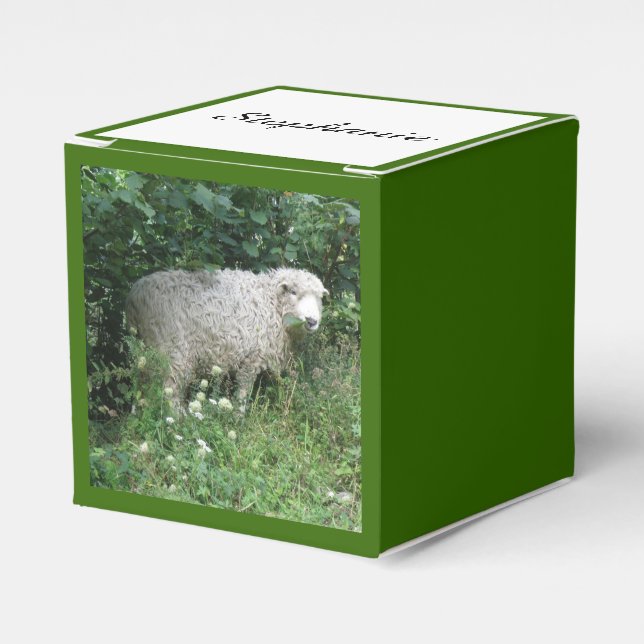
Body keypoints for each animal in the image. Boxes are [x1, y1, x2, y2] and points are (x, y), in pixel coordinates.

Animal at [125, 267, 328, 410]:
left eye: (319, 298)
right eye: (293, 292)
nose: (312, 321)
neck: (271, 303)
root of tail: (135, 296)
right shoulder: (251, 359)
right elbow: (243, 392)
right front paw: (238, 417)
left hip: (144, 351)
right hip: (173, 352)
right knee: (170, 390)